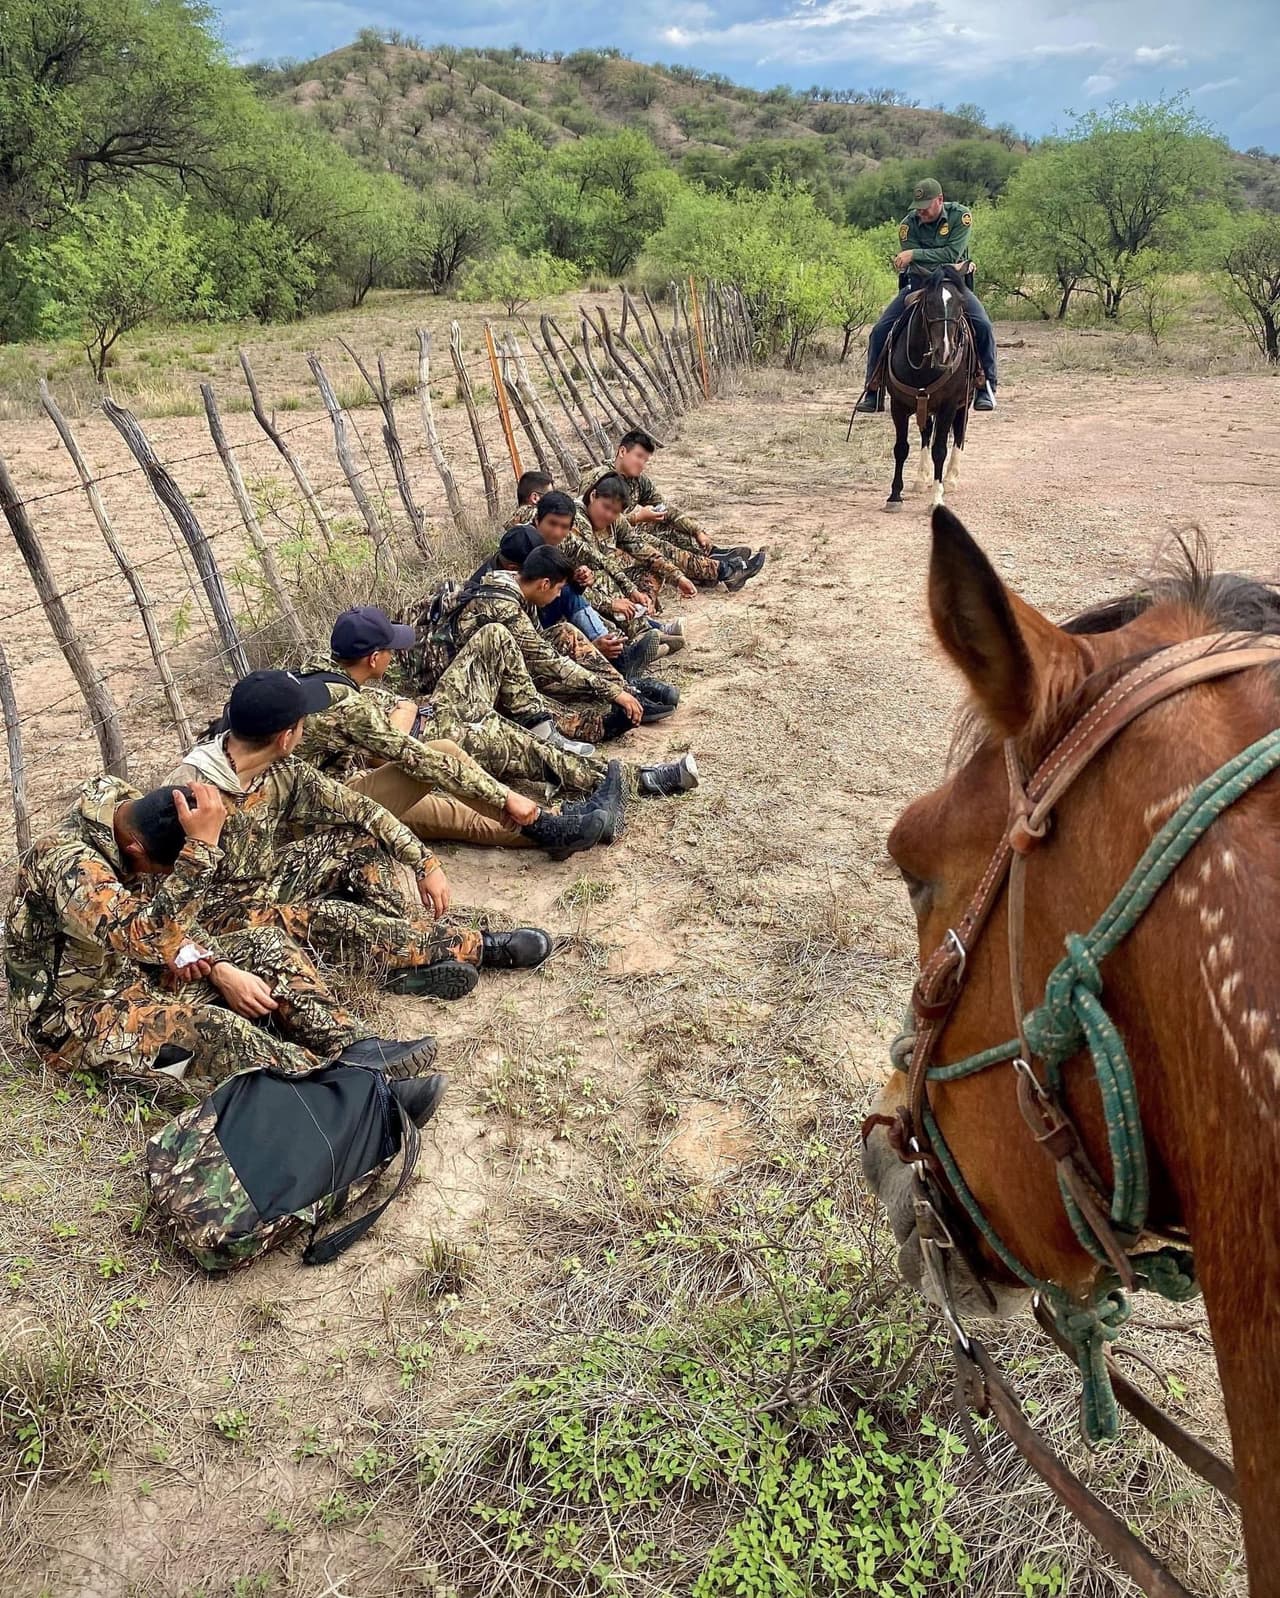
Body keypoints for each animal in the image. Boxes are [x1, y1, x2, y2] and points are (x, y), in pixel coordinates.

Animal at [882, 266, 977, 514]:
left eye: (961, 302)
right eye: (929, 302)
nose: (945, 352)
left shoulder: (948, 406)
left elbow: (940, 450)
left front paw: (937, 498)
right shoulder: (899, 405)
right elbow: (901, 448)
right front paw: (894, 496)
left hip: (963, 404)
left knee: (959, 434)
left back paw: (951, 479)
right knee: (926, 433)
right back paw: (921, 478)